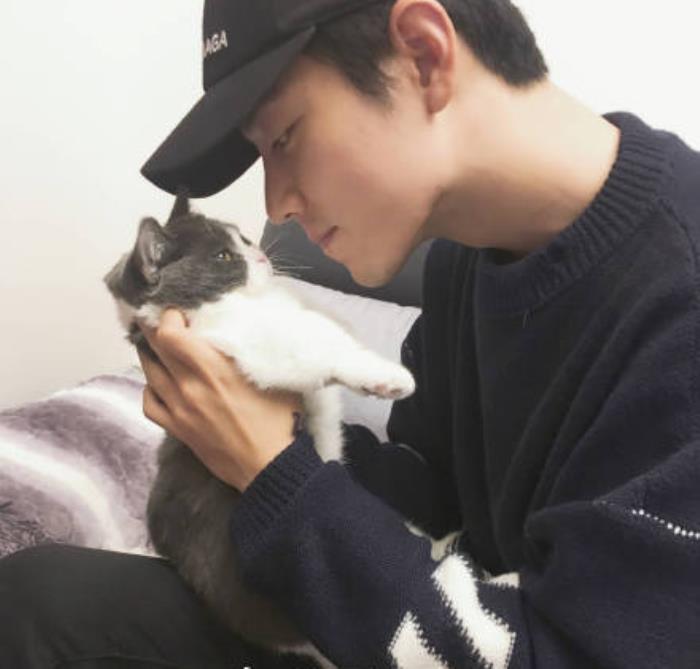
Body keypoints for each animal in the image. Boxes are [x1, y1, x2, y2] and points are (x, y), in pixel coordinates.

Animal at [103, 191, 417, 669]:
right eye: (223, 257)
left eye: (244, 239)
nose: (262, 255)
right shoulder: (252, 348)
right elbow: (319, 342)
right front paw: (385, 376)